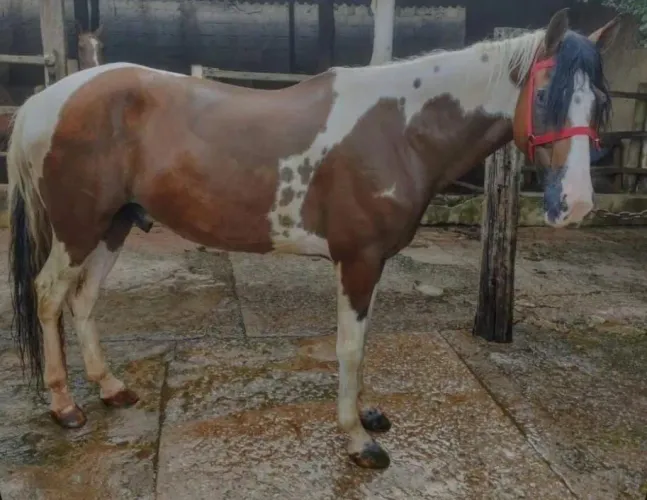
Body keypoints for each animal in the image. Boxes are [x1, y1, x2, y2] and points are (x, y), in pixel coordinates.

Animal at [6, 9, 621, 469]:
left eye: (601, 102)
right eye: (544, 95)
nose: (577, 204)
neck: (399, 131)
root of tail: (44, 101)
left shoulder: (368, 263)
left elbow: (362, 343)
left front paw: (367, 416)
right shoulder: (358, 259)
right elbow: (350, 346)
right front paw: (358, 440)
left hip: (112, 226)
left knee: (84, 300)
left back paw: (110, 388)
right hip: (78, 229)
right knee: (49, 295)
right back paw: (65, 406)